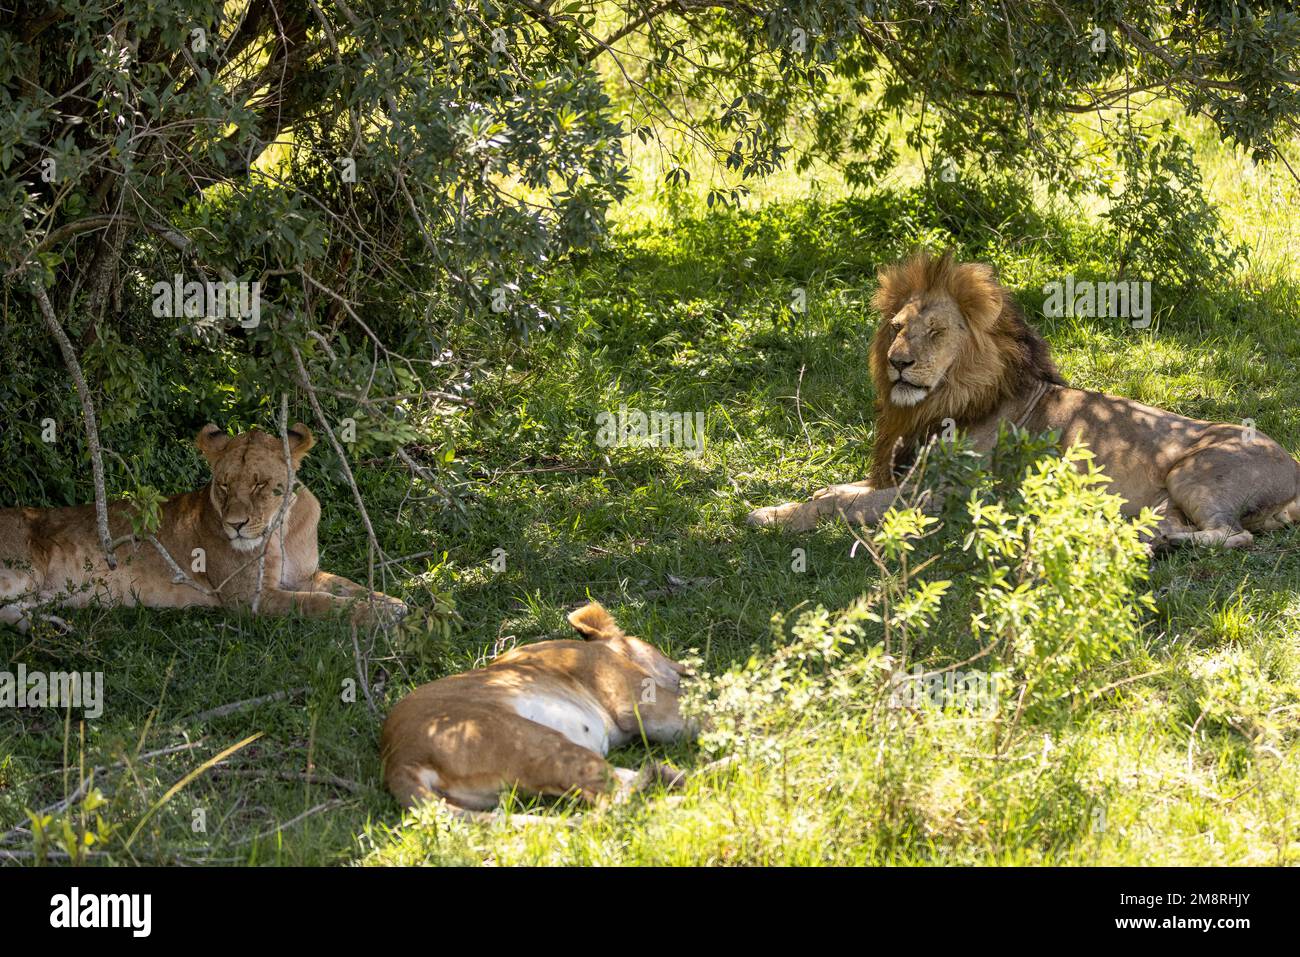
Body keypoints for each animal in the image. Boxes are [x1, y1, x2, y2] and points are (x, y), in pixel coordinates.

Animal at [0, 423, 407, 632]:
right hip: (23, 570)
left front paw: (392, 602)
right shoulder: (250, 599)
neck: (280, 530)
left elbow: (347, 586)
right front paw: (381, 616)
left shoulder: (304, 574)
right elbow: (321, 604)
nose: (236, 526)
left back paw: (48, 626)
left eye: (260, 484)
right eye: (224, 485)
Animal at [748, 251, 1300, 548]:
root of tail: (1294, 469)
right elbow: (841, 490)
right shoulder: (908, 477)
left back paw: (1156, 540)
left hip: (1193, 471)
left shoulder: (937, 496)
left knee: (1234, 535)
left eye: (936, 332)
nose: (898, 362)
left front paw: (771, 516)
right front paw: (796, 498)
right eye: (898, 327)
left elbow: (839, 504)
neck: (942, 401)